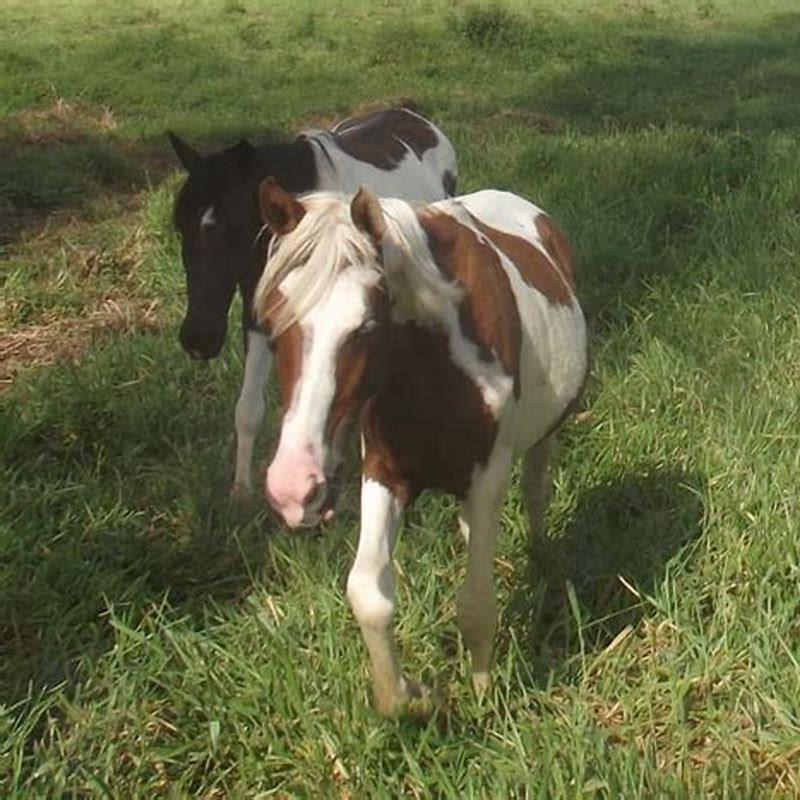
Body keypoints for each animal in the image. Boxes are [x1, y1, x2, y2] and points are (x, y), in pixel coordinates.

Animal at [168, 107, 458, 497]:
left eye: (232, 226)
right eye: (179, 226)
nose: (198, 340)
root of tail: (412, 114)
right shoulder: (260, 316)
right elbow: (249, 409)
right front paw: (242, 491)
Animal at [252, 178, 588, 715]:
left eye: (366, 327)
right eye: (269, 324)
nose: (293, 487)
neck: (434, 367)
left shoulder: (488, 475)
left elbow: (475, 604)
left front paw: (483, 696)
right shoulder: (384, 472)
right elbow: (368, 593)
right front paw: (411, 696)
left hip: (544, 434)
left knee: (536, 491)